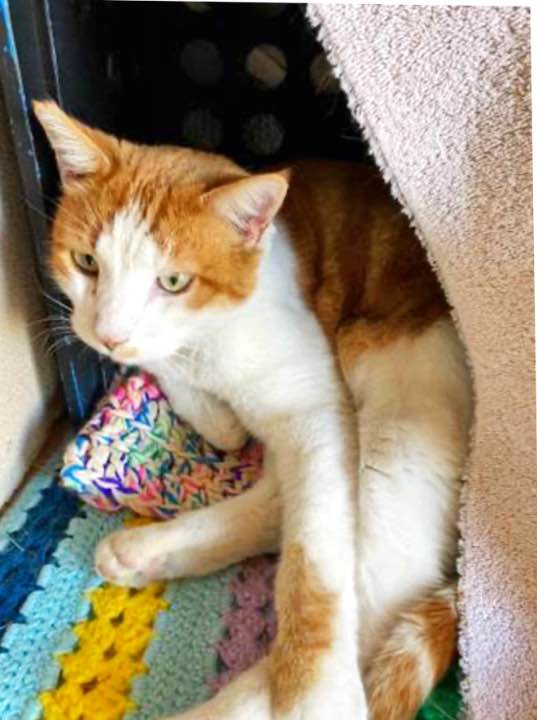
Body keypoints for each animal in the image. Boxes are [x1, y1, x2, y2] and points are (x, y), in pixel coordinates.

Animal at [34, 100, 472, 720]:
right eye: (86, 262)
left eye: (173, 281)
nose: (110, 334)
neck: (208, 341)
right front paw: (215, 417)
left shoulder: (316, 408)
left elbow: (315, 561)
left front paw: (312, 686)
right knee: (284, 502)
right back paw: (146, 550)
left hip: (398, 408)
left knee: (370, 590)